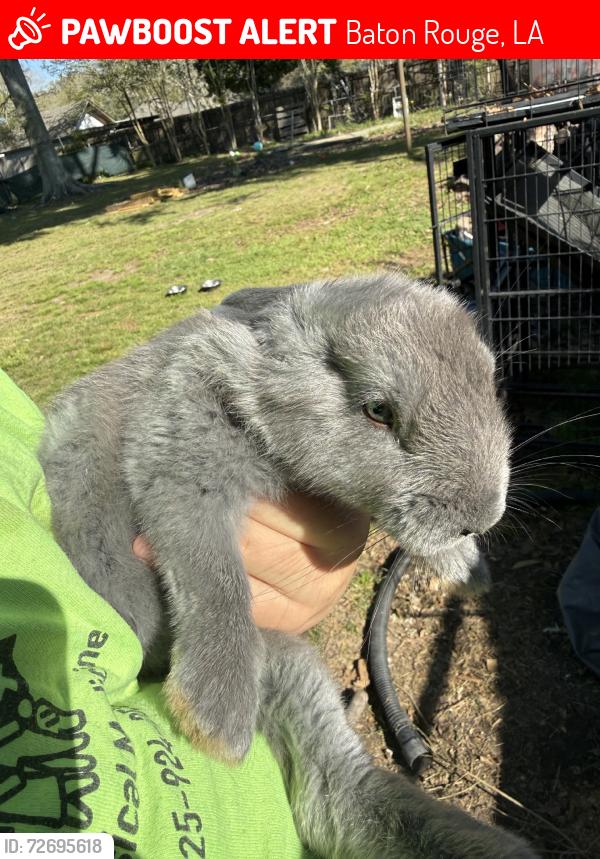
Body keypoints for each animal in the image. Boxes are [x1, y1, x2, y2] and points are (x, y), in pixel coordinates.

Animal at [39, 273, 535, 858]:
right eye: (378, 410)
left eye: (491, 382)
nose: (483, 514)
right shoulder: (180, 463)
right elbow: (214, 580)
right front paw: (215, 718)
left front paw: (468, 567)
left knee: (340, 795)